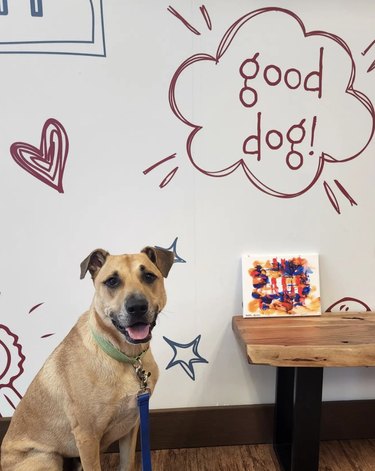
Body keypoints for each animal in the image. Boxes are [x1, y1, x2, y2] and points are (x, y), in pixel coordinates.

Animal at [1, 245, 175, 470]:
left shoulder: (131, 426)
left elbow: (127, 463)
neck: (125, 357)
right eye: (112, 281)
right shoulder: (87, 437)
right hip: (47, 458)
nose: (137, 307)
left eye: (148, 276)